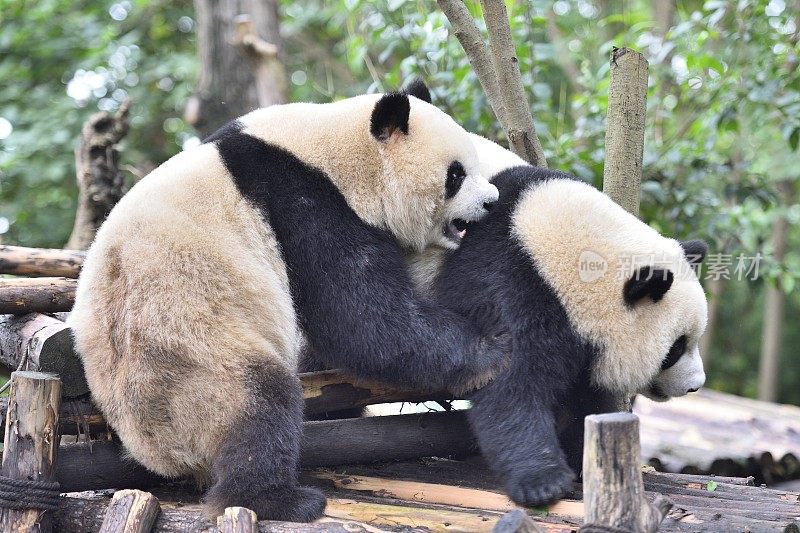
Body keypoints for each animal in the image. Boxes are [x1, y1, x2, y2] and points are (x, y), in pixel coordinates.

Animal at [70, 81, 506, 520]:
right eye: (456, 174)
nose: (492, 201)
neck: (335, 150)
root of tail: (156, 450)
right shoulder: (301, 203)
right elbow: (361, 318)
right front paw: (490, 352)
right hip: (190, 353)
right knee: (259, 405)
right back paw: (278, 499)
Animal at [418, 137, 708, 502]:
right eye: (676, 348)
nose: (695, 384)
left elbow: (585, 395)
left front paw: (585, 455)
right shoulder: (511, 277)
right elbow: (510, 383)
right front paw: (542, 481)